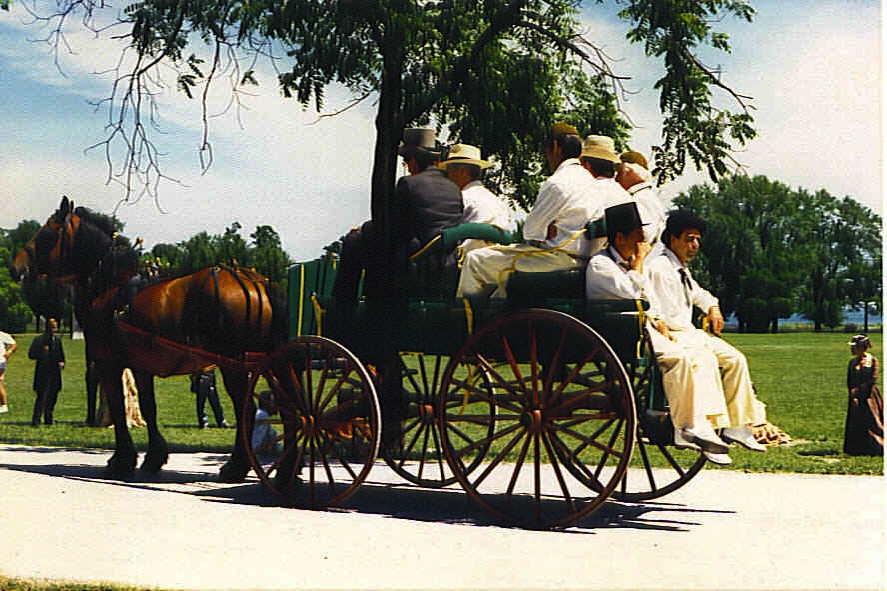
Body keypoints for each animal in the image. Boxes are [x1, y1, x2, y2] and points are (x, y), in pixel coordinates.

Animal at [13, 199, 288, 480]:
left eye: (47, 232)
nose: (16, 268)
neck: (110, 287)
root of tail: (255, 282)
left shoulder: (108, 363)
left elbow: (119, 407)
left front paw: (122, 460)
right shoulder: (141, 366)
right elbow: (149, 407)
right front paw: (154, 457)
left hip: (233, 363)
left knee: (247, 409)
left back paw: (236, 467)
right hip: (269, 361)